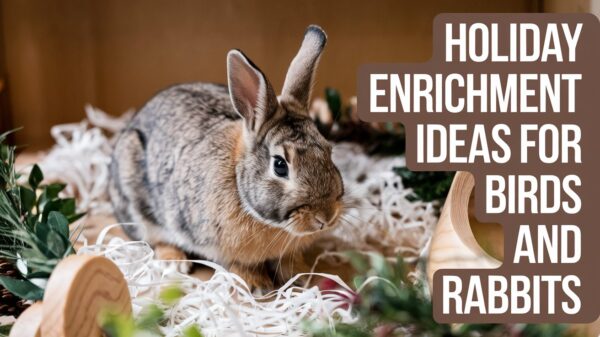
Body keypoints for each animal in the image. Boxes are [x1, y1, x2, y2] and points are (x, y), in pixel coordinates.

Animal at [108, 25, 342, 288]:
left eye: (329, 150)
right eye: (280, 165)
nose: (326, 217)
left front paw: (304, 276)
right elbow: (240, 264)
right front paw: (256, 284)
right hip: (140, 208)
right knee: (155, 238)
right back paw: (174, 262)